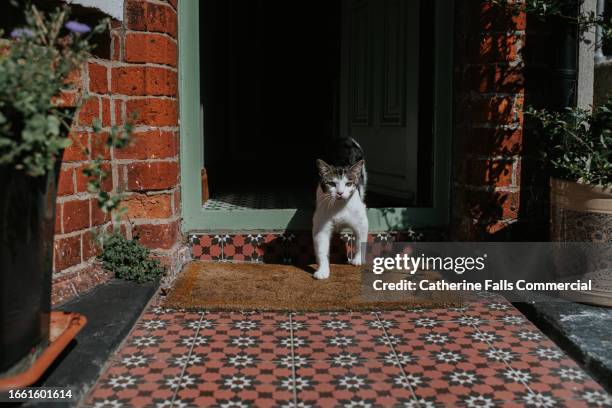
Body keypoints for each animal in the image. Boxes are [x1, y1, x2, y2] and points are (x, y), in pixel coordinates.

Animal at [314, 137, 366, 280]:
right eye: (331, 183)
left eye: (348, 184)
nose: (340, 193)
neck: (339, 207)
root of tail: (346, 139)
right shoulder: (321, 225)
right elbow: (321, 249)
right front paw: (322, 270)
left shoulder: (361, 221)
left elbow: (360, 240)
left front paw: (358, 259)